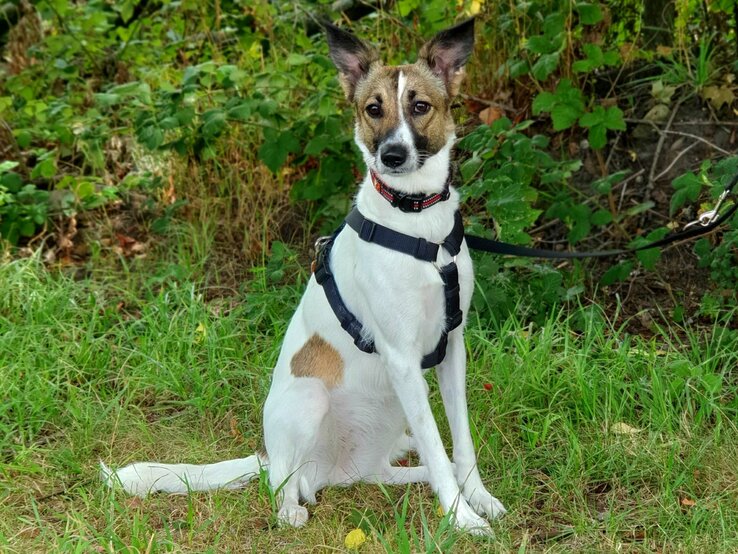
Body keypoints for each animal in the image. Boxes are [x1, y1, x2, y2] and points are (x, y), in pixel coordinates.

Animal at [102, 19, 506, 532]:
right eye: (373, 109)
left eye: (420, 106)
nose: (393, 155)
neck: (418, 226)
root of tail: (325, 467)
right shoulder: (401, 356)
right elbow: (438, 444)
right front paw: (461, 518)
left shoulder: (452, 345)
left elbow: (460, 440)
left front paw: (478, 497)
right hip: (309, 401)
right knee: (283, 482)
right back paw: (291, 507)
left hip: (389, 416)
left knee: (380, 471)